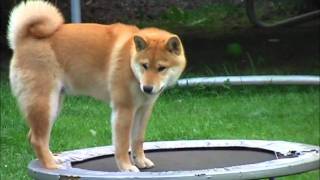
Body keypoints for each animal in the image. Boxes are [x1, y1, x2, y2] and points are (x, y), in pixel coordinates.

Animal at [7, 0, 186, 172]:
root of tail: (23, 39)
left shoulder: (143, 109)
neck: (129, 60)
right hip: (45, 104)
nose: (147, 88)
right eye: (145, 66)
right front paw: (126, 167)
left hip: (54, 106)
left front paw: (140, 161)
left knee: (35, 136)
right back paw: (51, 166)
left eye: (161, 68)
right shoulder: (124, 109)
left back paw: (53, 159)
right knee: (37, 139)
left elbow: (137, 139)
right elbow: (122, 144)